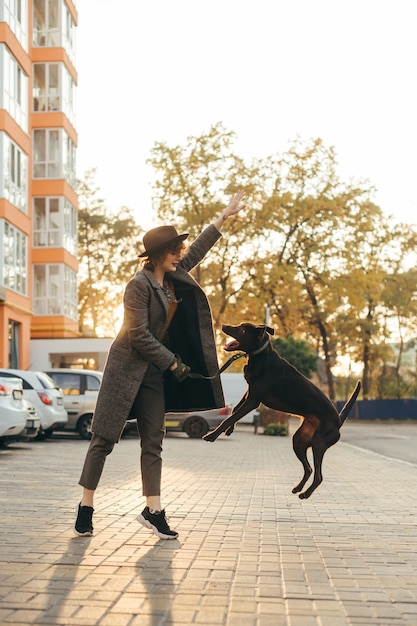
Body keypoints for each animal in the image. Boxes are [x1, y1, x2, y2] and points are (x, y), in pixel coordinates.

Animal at [203, 322, 360, 498]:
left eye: (242, 330)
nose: (224, 325)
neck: (261, 356)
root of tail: (338, 421)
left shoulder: (254, 400)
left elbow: (230, 417)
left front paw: (212, 435)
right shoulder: (250, 393)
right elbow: (234, 411)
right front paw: (230, 430)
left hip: (318, 443)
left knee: (318, 475)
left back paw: (305, 494)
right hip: (299, 441)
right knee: (309, 469)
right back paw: (298, 488)